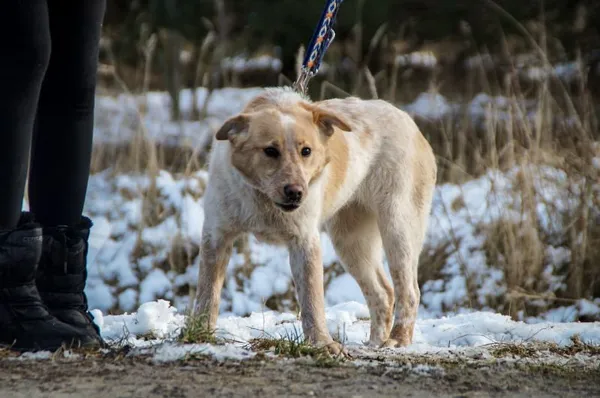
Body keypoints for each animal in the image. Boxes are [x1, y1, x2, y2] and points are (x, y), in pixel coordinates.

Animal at [193, 85, 436, 352]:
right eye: (270, 151)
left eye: (306, 151)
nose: (295, 192)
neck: (264, 201)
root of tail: (409, 121)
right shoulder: (217, 235)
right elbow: (207, 293)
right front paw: (200, 334)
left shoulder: (304, 241)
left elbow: (311, 300)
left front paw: (321, 344)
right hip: (350, 241)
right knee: (383, 292)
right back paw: (373, 344)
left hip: (398, 226)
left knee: (409, 291)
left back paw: (398, 339)